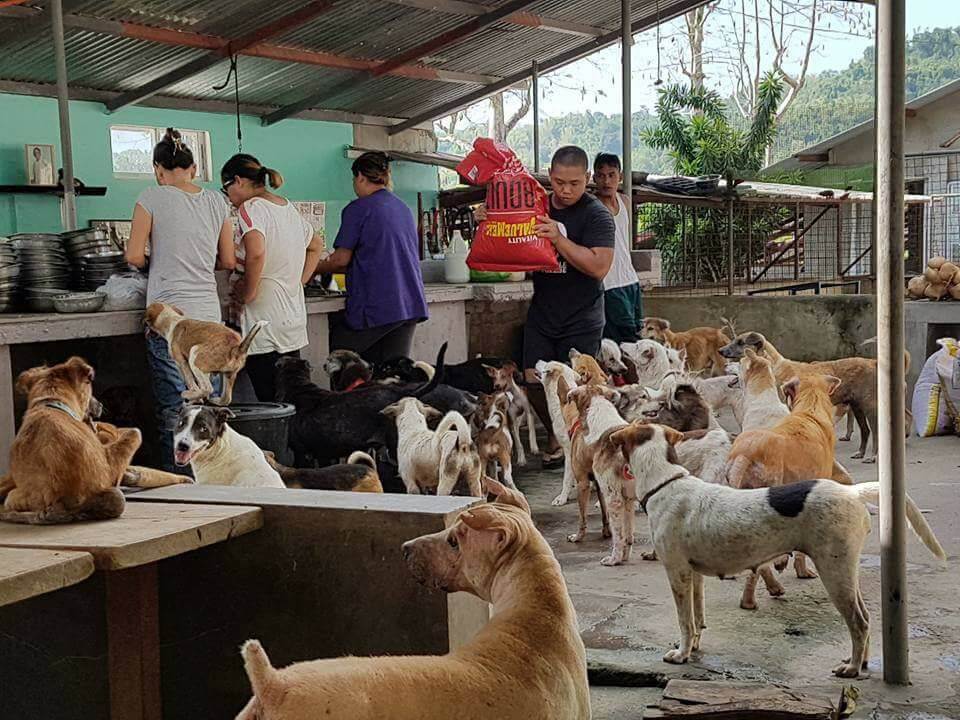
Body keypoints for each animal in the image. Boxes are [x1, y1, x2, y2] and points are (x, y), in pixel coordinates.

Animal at [0, 358, 141, 524]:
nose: (101, 404)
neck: (51, 402)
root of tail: (56, 502)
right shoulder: (108, 466)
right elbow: (135, 432)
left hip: (14, 497)